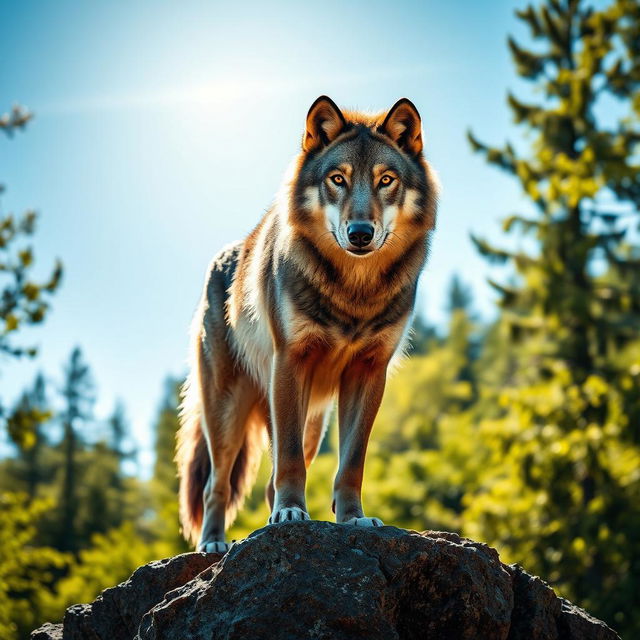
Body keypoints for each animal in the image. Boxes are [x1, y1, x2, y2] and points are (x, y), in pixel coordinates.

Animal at [175, 94, 440, 552]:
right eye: (338, 178)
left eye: (386, 180)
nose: (360, 233)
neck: (354, 292)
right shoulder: (290, 361)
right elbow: (289, 463)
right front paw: (290, 514)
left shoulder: (369, 372)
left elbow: (351, 463)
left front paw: (353, 519)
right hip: (228, 413)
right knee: (216, 485)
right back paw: (214, 544)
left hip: (313, 422)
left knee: (268, 480)